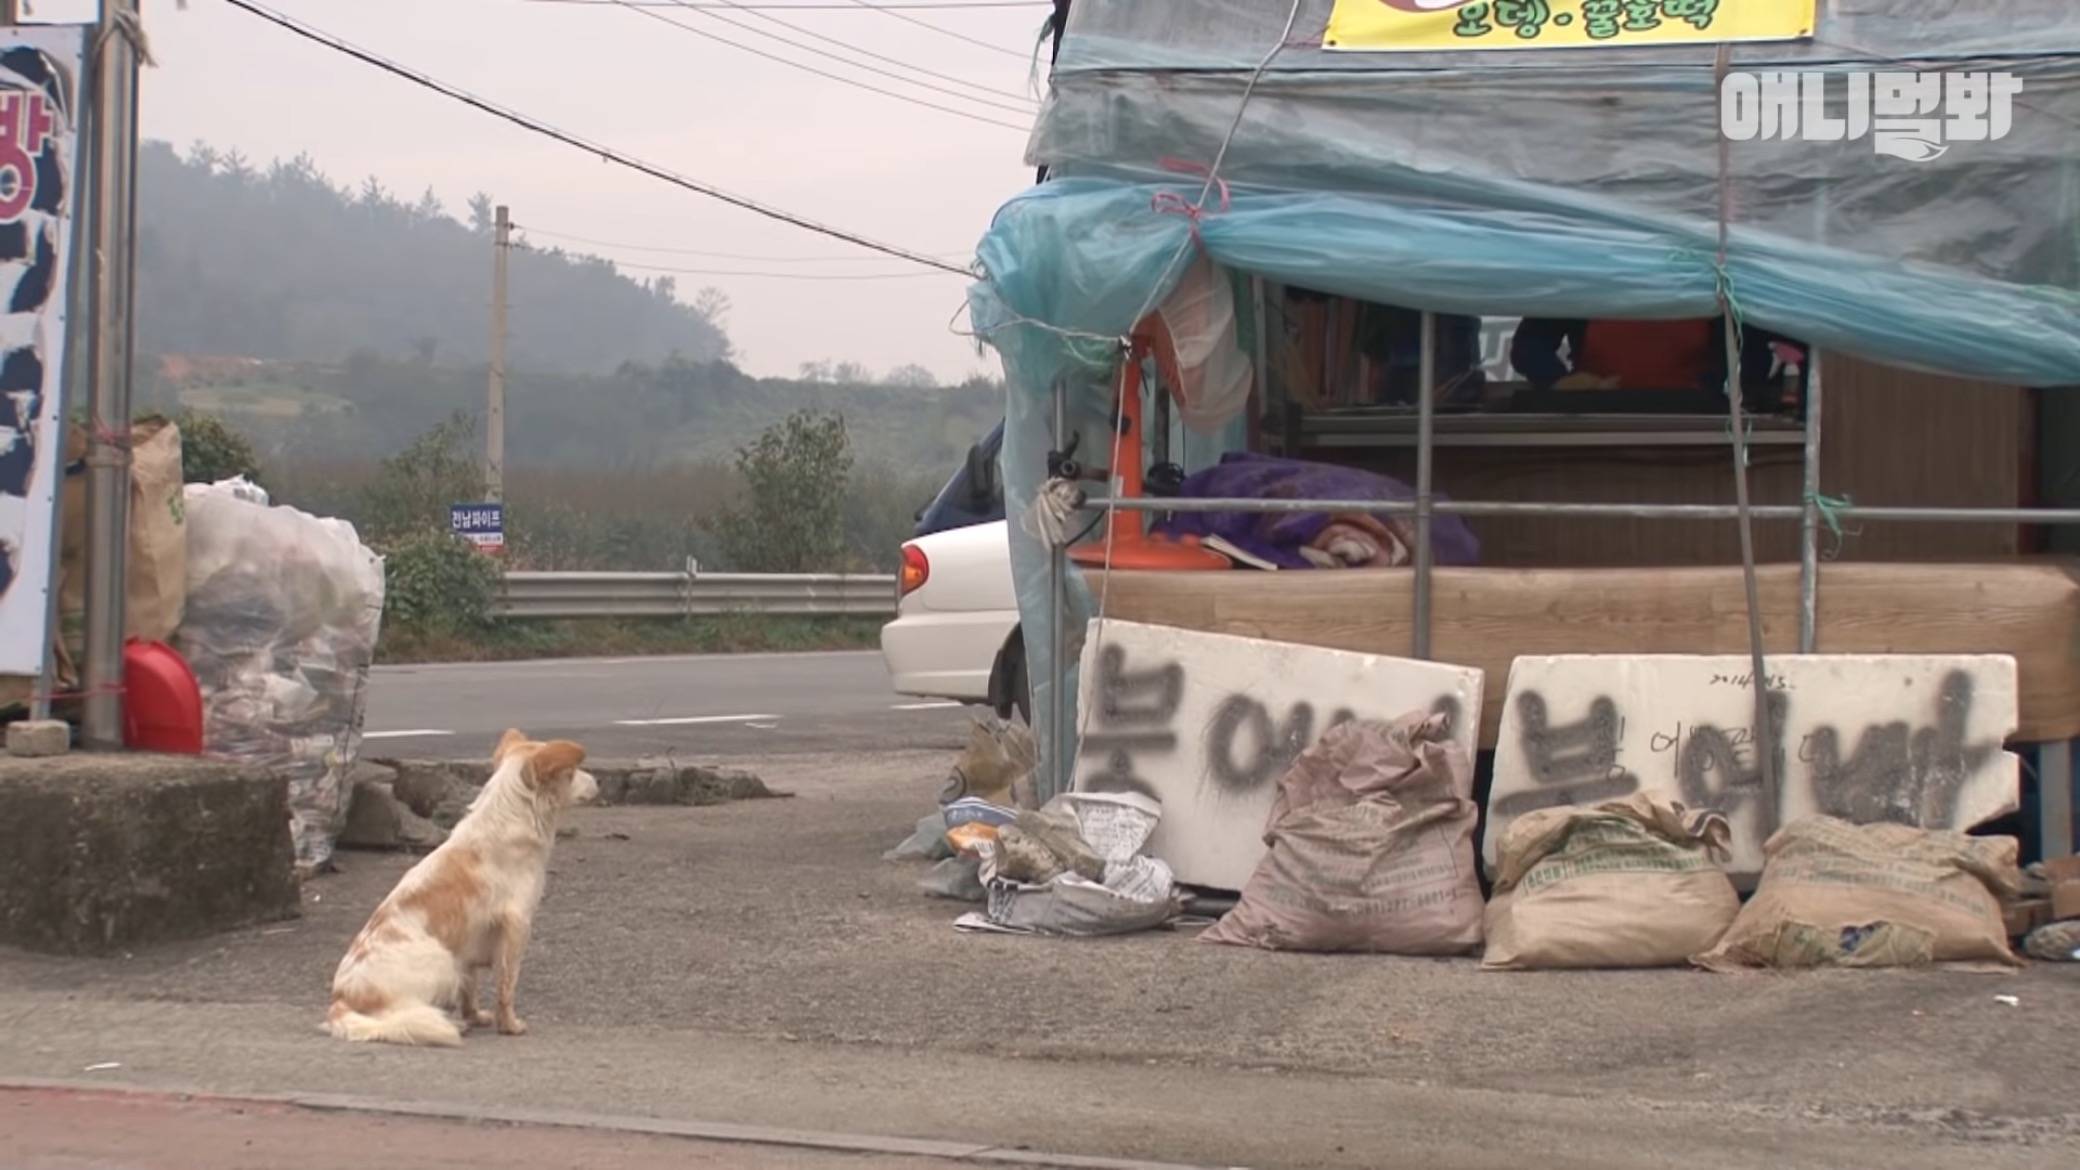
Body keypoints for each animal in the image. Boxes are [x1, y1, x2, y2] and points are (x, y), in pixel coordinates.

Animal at [324, 724, 599, 1040]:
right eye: (573, 772)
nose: (598, 782)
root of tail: (342, 999)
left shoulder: (471, 943)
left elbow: (471, 988)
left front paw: (476, 1016)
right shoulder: (517, 926)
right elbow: (507, 984)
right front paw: (510, 1025)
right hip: (443, 962)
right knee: (401, 1014)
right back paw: (446, 1023)